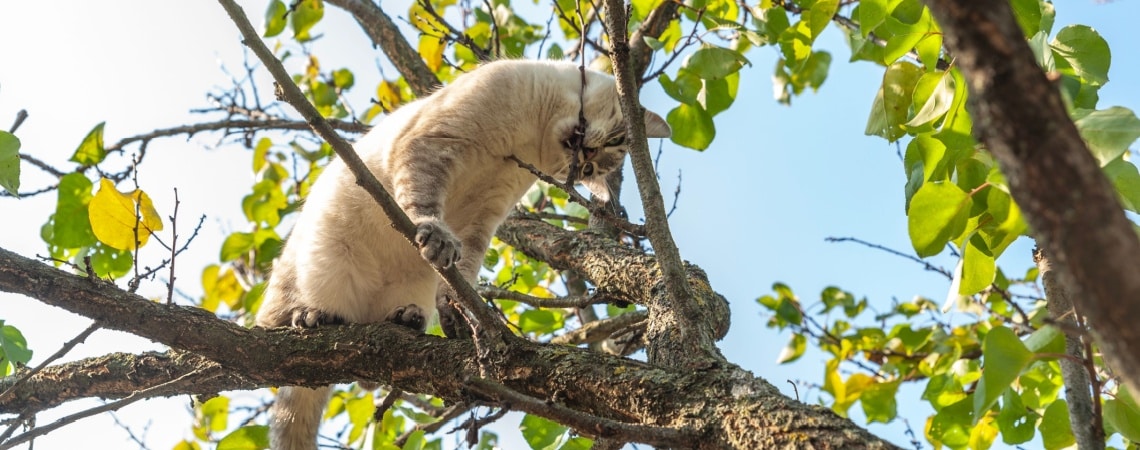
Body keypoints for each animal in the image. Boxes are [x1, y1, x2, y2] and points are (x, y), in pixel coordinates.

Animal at [254, 59, 665, 450]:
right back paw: (312, 317)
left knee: (367, 377)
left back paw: (405, 319)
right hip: (325, 259)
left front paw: (458, 315)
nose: (587, 157)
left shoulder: (482, 218)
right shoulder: (433, 146)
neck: (528, 134)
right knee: (275, 324)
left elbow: (462, 275)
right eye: (616, 139)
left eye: (590, 169)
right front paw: (436, 238)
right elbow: (423, 206)